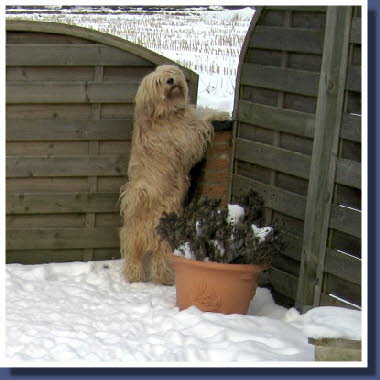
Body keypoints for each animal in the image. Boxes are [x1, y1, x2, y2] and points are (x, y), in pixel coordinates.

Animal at [119, 65, 229, 284]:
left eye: (171, 73)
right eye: (159, 82)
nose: (171, 81)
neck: (162, 114)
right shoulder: (186, 136)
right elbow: (201, 121)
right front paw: (220, 113)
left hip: (133, 241)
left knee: (133, 260)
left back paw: (135, 278)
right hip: (163, 239)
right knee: (160, 259)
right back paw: (166, 278)